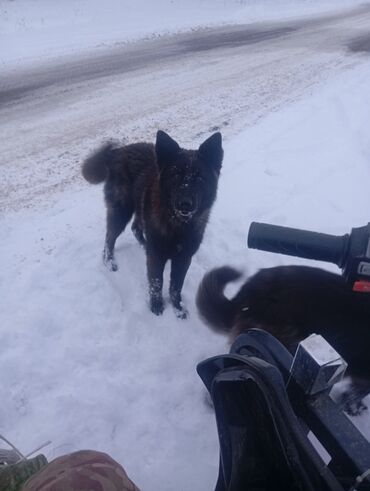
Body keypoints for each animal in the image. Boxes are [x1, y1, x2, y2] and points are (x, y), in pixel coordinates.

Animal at [81, 129, 223, 318]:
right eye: (175, 175)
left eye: (199, 177)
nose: (185, 204)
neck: (177, 225)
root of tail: (117, 152)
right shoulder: (156, 257)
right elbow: (157, 282)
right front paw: (156, 306)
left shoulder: (184, 258)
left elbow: (176, 286)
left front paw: (178, 308)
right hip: (121, 212)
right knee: (109, 238)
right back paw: (109, 261)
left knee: (135, 227)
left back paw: (143, 244)